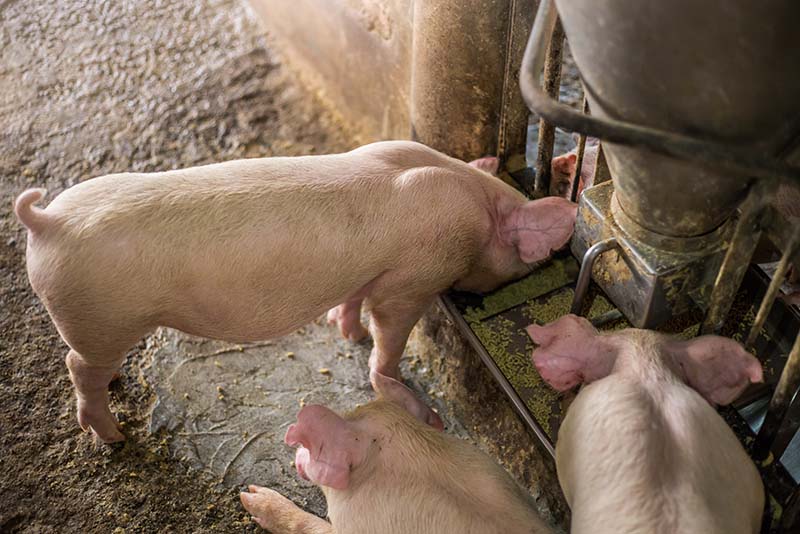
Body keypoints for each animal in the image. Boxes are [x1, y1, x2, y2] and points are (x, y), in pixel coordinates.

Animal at [12, 141, 576, 444]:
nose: (534, 265)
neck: (473, 204)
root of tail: (49, 222)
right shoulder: (413, 278)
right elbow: (387, 336)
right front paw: (427, 415)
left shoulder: (369, 271)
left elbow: (353, 299)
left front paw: (347, 332)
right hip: (101, 317)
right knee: (77, 366)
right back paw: (113, 435)